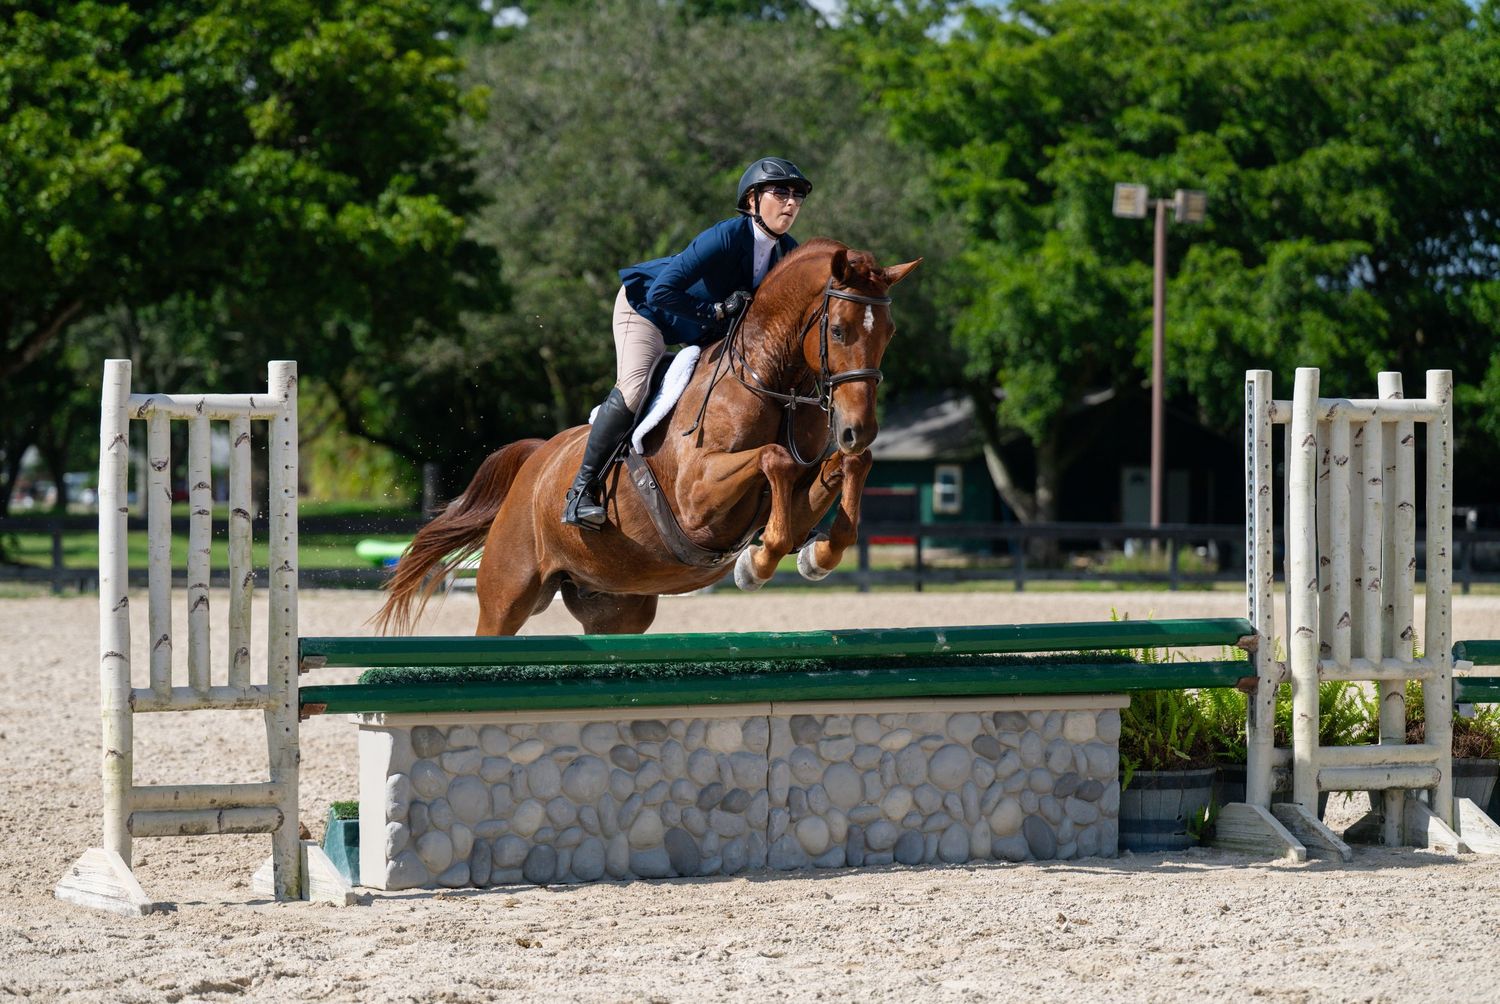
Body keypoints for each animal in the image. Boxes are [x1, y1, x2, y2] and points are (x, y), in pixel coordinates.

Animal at [375, 238, 921, 636]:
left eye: (889, 332)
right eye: (840, 330)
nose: (856, 430)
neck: (768, 380)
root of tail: (536, 460)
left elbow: (847, 468)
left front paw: (816, 554)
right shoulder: (697, 498)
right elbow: (773, 459)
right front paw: (758, 562)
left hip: (617, 605)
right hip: (507, 593)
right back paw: (580, 501)